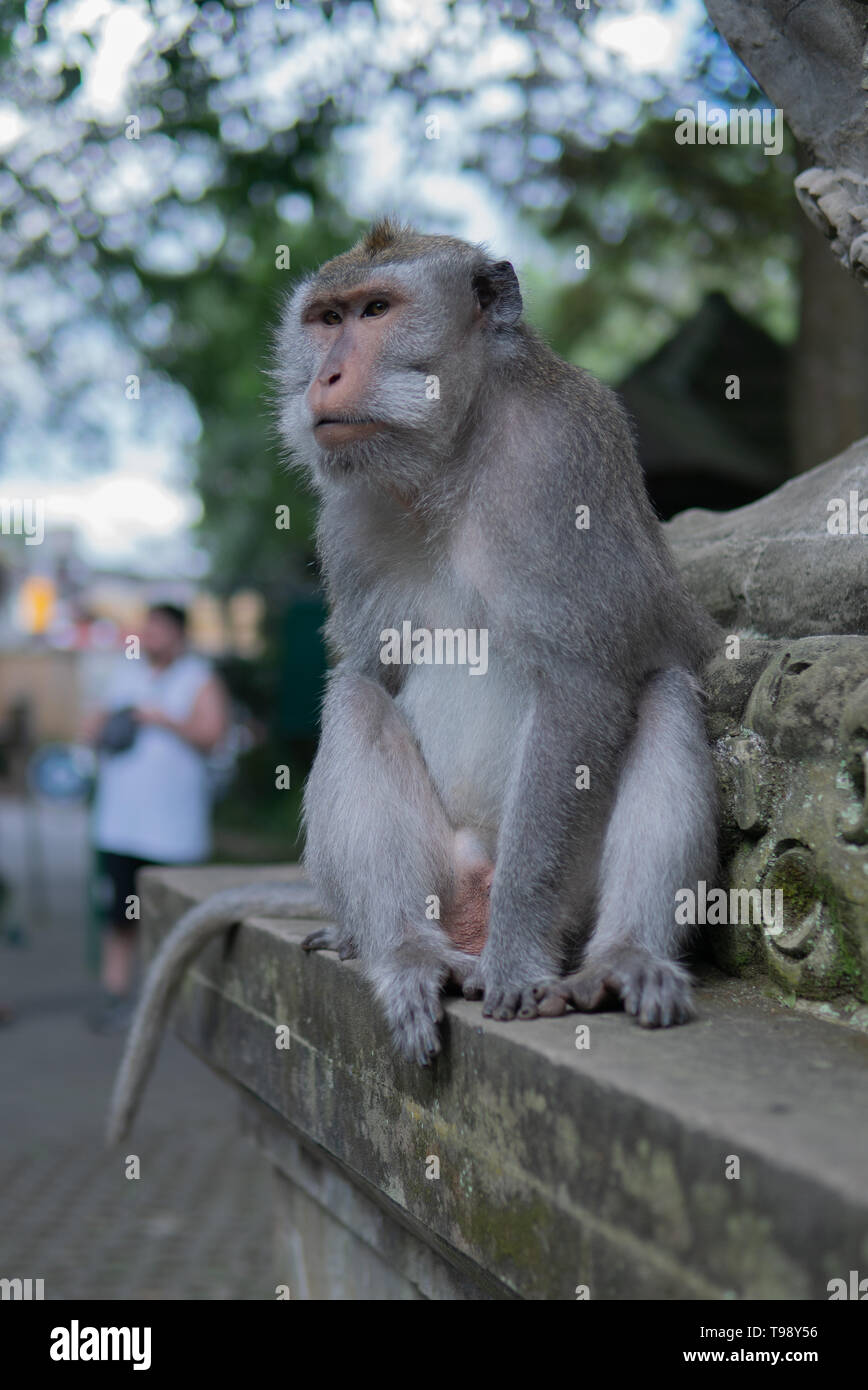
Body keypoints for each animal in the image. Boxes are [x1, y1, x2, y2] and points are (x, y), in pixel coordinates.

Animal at [108, 216, 717, 1145]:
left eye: (376, 310)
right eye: (325, 319)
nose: (324, 375)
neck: (452, 458)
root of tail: (469, 905)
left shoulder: (565, 455)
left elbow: (585, 679)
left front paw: (519, 962)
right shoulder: (346, 515)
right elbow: (370, 672)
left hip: (557, 888)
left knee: (666, 695)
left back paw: (620, 958)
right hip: (441, 870)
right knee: (355, 702)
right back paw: (401, 952)